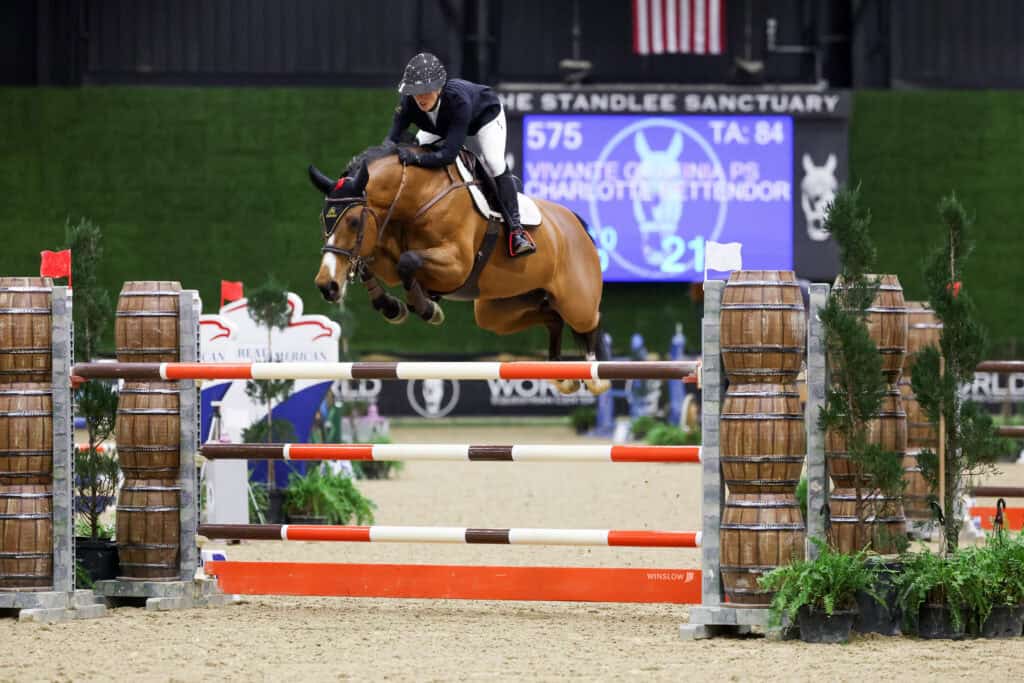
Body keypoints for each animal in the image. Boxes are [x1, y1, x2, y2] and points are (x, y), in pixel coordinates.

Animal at [308, 143, 609, 394]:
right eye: (323, 220)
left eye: (353, 222)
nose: (326, 285)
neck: (416, 196)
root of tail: (576, 223)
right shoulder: (385, 254)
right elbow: (374, 265)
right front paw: (392, 307)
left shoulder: (456, 265)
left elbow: (408, 261)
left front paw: (427, 308)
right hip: (497, 311)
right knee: (552, 318)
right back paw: (562, 374)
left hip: (576, 301)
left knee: (589, 321)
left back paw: (595, 376)